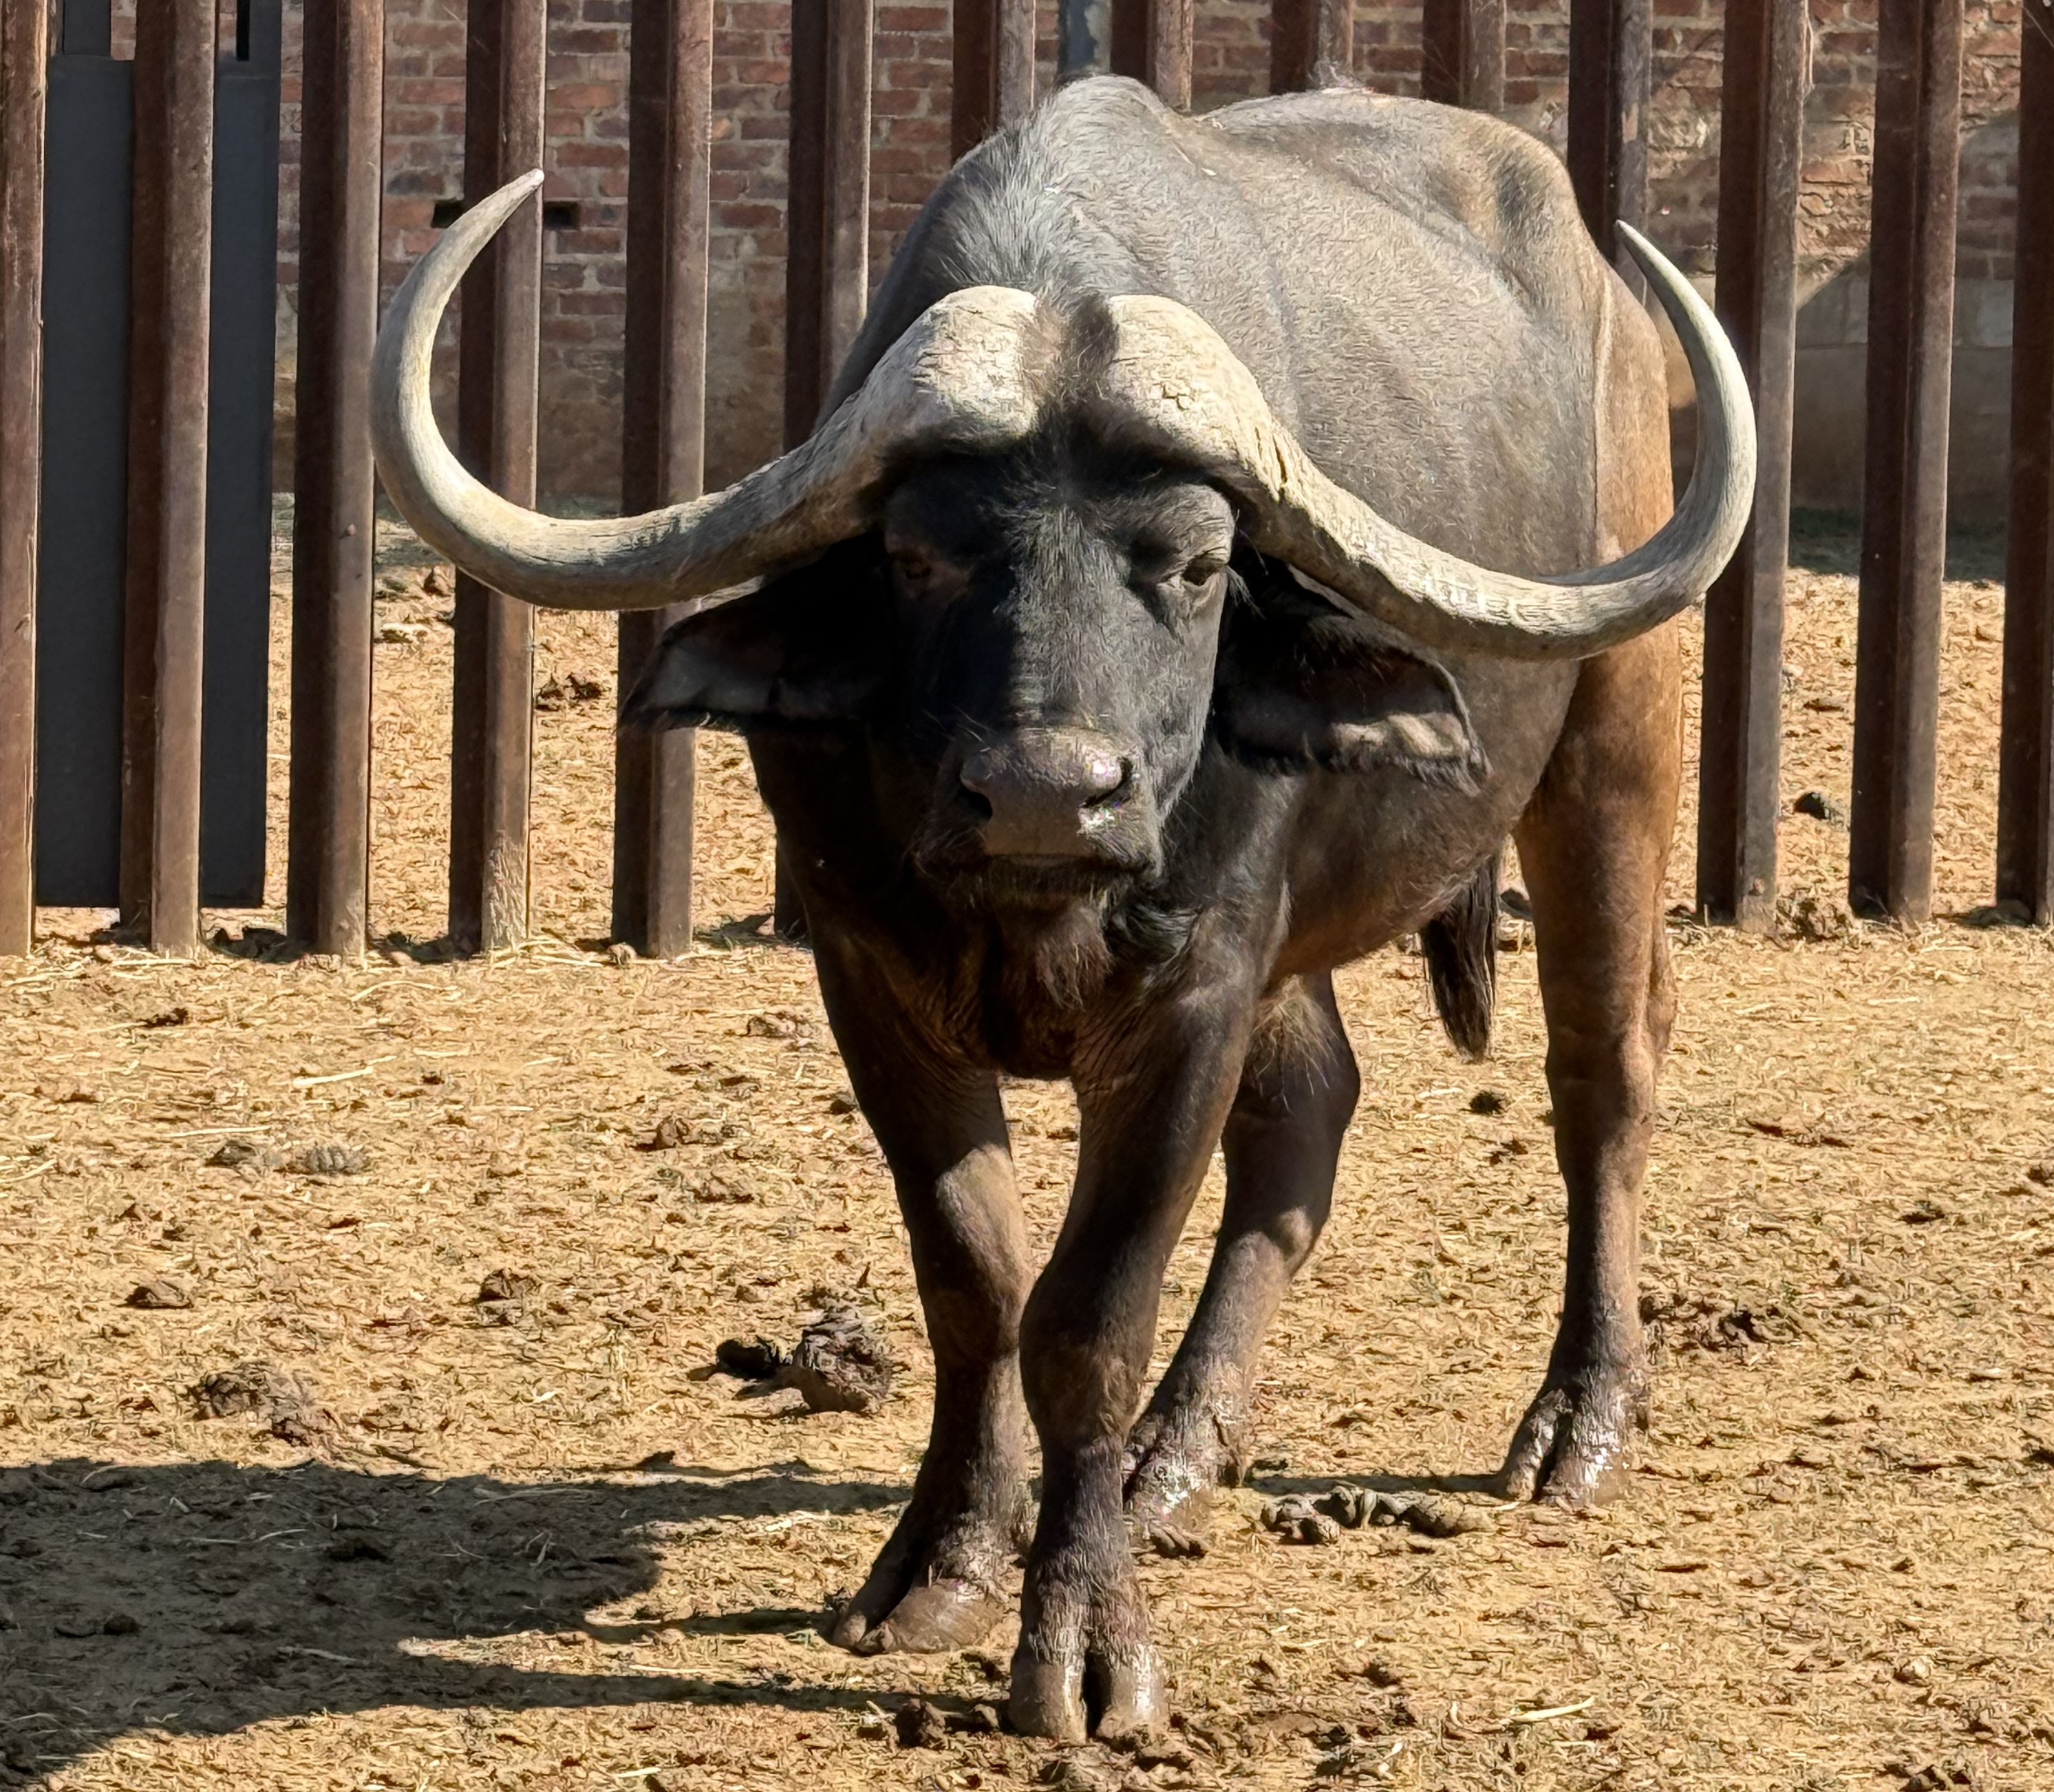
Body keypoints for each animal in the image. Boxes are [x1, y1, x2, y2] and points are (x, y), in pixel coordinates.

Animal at [370, 76, 1754, 1744]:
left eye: (1201, 562)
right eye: (916, 553)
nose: (1047, 793)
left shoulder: (1189, 994)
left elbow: (1088, 1316)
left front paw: (1084, 1639)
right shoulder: (871, 981)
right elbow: (974, 1277)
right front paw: (944, 1563)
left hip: (1616, 742)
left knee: (1602, 1066)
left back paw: (1574, 1417)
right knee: (1311, 1106)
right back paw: (1180, 1448)